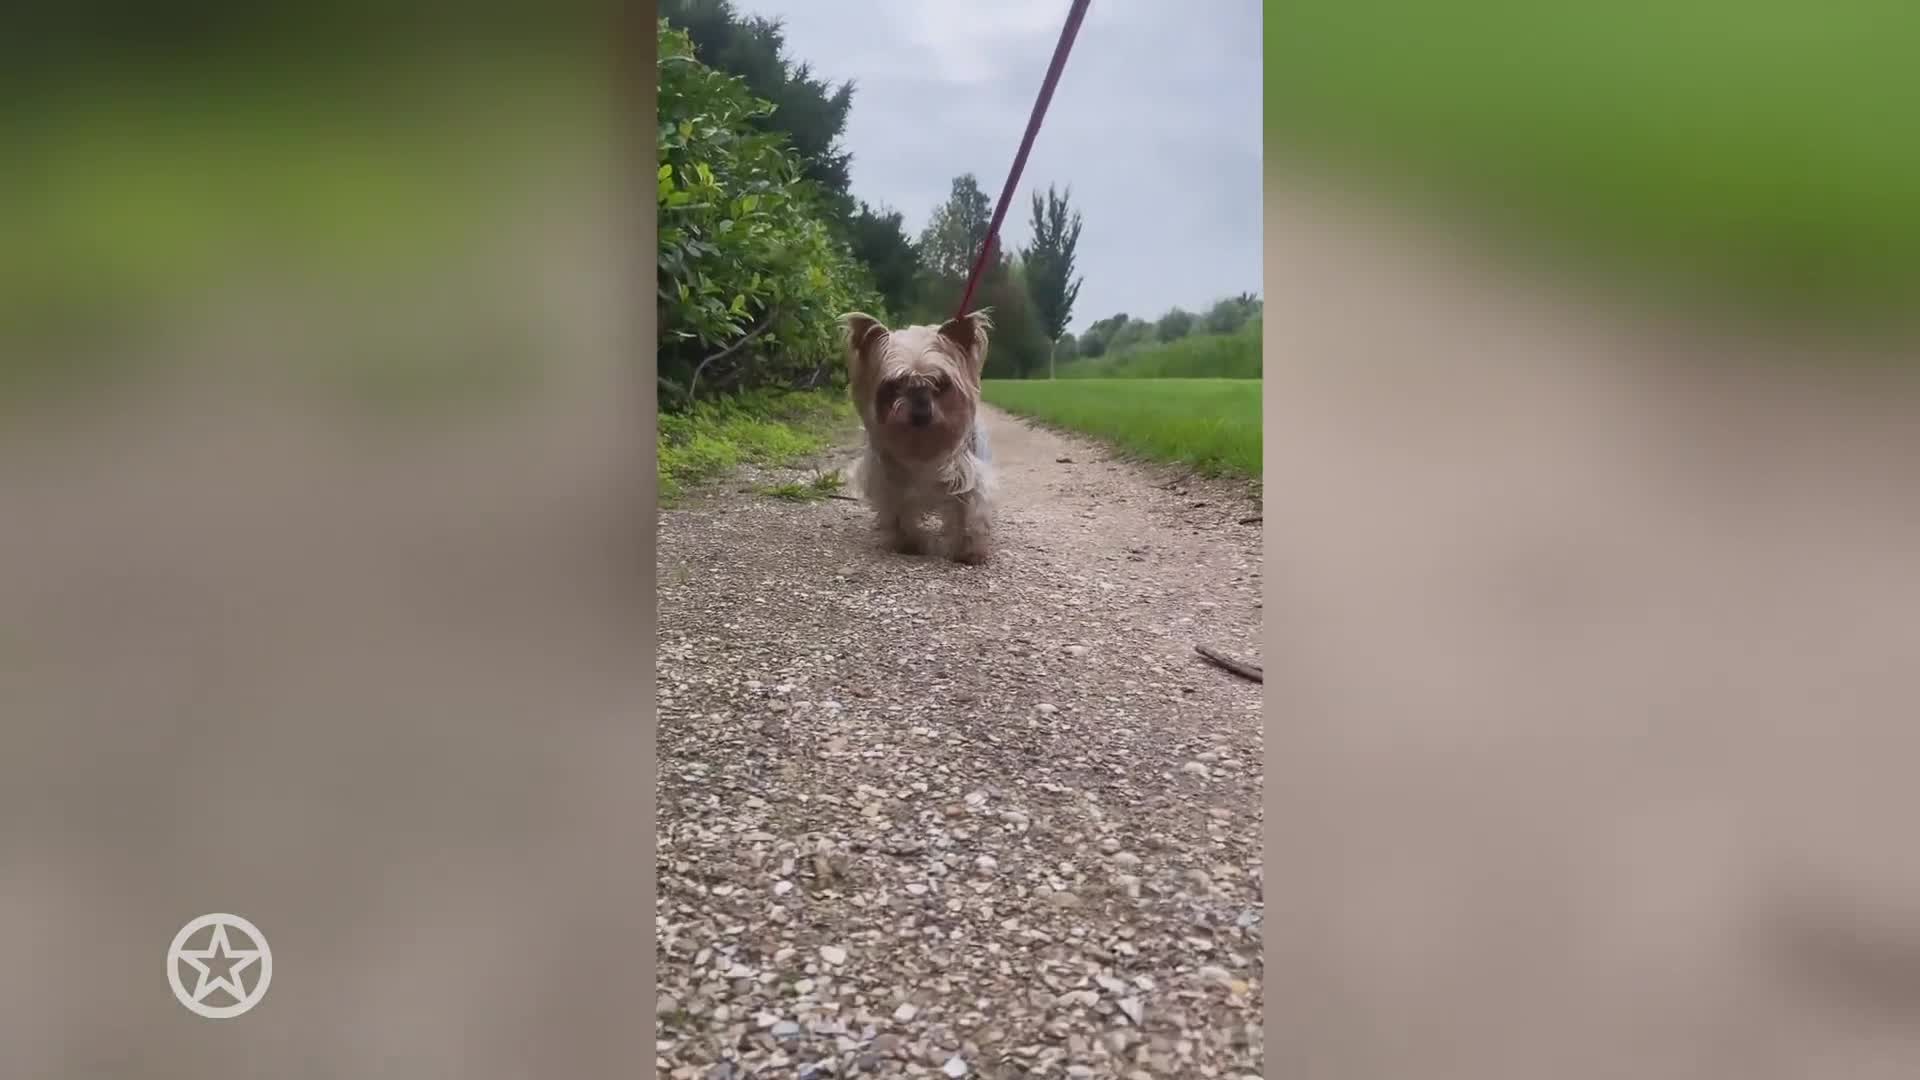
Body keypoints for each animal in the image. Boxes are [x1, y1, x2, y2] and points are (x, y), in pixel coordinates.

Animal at [840, 305, 998, 564]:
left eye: (940, 383)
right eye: (895, 385)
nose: (921, 412)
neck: (923, 443)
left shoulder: (966, 475)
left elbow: (968, 509)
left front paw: (969, 550)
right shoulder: (890, 478)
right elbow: (898, 510)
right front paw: (907, 543)